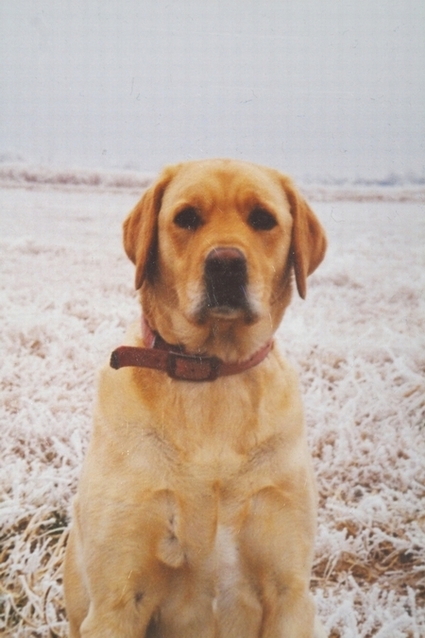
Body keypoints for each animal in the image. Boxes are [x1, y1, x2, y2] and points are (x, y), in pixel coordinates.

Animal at [63, 158, 328, 636]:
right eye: (186, 218)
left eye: (263, 219)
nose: (225, 265)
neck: (212, 372)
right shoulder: (115, 602)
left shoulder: (290, 595)